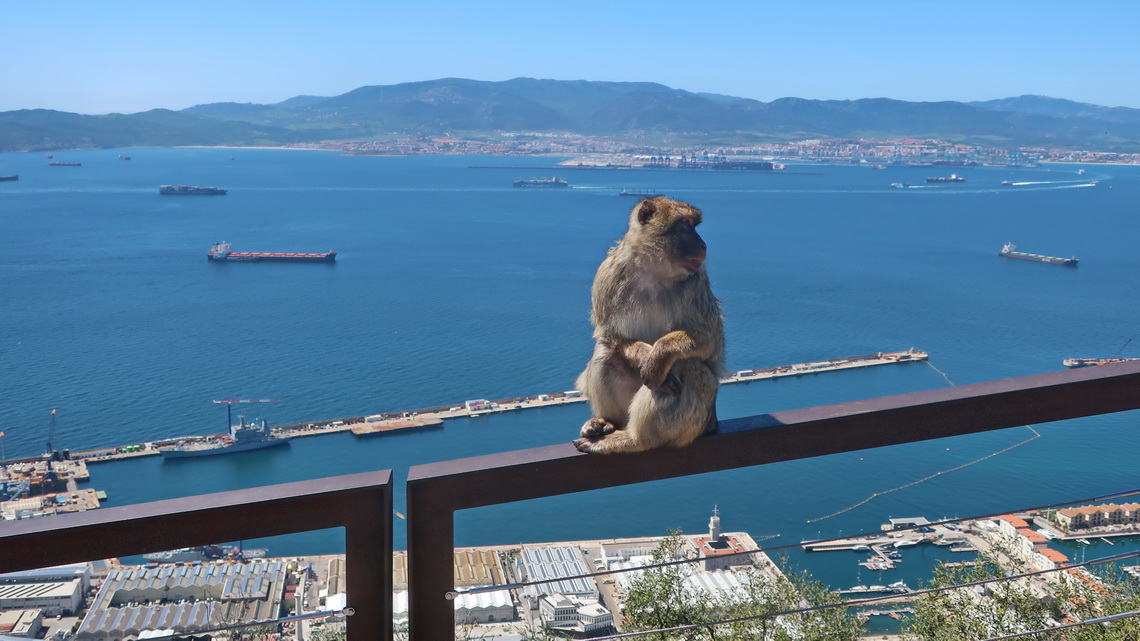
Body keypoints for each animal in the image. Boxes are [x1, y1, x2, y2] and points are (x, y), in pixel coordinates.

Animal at [574, 197, 725, 451]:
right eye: (686, 225)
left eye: (694, 225)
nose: (703, 245)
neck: (653, 271)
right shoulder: (607, 275)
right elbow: (610, 334)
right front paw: (644, 354)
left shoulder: (696, 282)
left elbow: (709, 342)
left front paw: (657, 358)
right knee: (606, 351)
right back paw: (607, 422)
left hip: (700, 422)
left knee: (689, 366)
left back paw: (636, 440)